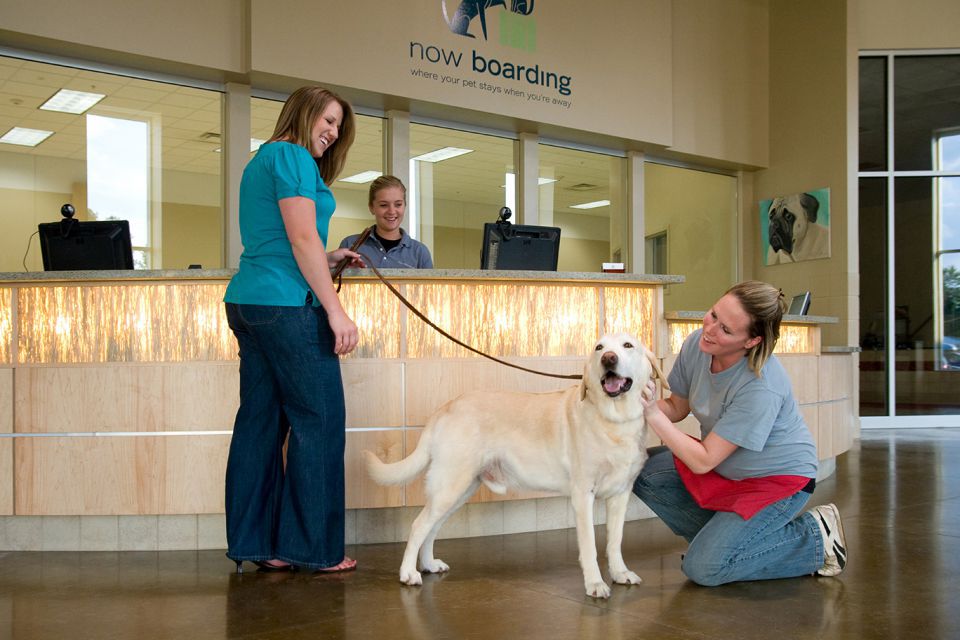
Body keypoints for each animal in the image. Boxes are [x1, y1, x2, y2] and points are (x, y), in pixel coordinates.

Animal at [364, 332, 664, 596]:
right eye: (599, 347)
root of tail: (445, 407)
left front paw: (620, 573)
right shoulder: (583, 495)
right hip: (451, 486)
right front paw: (594, 584)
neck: (615, 421)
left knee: (431, 528)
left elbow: (615, 541)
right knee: (418, 526)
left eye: (628, 345)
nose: (609, 359)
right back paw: (408, 573)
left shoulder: (621, 495)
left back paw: (428, 564)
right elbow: (590, 546)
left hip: (459, 491)